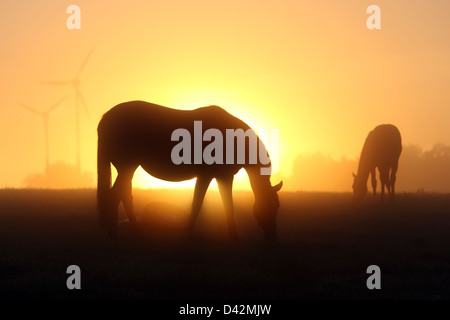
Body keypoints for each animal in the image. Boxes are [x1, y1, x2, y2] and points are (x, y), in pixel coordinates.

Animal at [97, 100, 282, 240]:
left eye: (277, 207)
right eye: (271, 207)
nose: (272, 237)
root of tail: (106, 118)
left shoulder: (218, 176)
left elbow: (213, 203)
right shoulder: (213, 176)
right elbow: (206, 203)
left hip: (127, 169)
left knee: (124, 195)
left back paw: (131, 232)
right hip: (127, 167)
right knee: (116, 196)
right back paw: (119, 234)